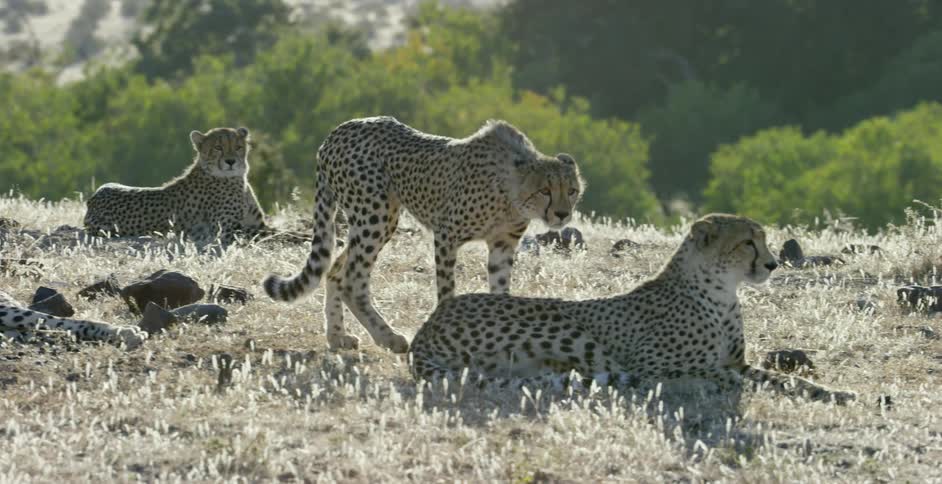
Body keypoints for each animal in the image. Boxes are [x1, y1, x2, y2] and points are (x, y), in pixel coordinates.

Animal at [84, 127, 268, 247]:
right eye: (218, 147)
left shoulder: (255, 224)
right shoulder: (225, 232)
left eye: (238, 147)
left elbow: (267, 232)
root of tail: (93, 199)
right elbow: (268, 235)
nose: (231, 161)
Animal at [263, 116, 583, 354]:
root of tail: (336, 132)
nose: (562, 214)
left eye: (572, 190)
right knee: (353, 279)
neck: (511, 191)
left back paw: (337, 337)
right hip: (376, 214)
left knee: (335, 270)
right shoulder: (446, 235)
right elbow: (446, 290)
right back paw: (389, 337)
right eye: (545, 190)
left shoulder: (503, 244)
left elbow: (500, 290)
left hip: (373, 221)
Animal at [409, 213, 857, 405]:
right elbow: (709, 373)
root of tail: (428, 324)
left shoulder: (739, 361)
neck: (720, 292)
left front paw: (834, 392)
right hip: (565, 326)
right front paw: (714, 385)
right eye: (748, 242)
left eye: (762, 240)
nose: (772, 264)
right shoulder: (652, 362)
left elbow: (783, 379)